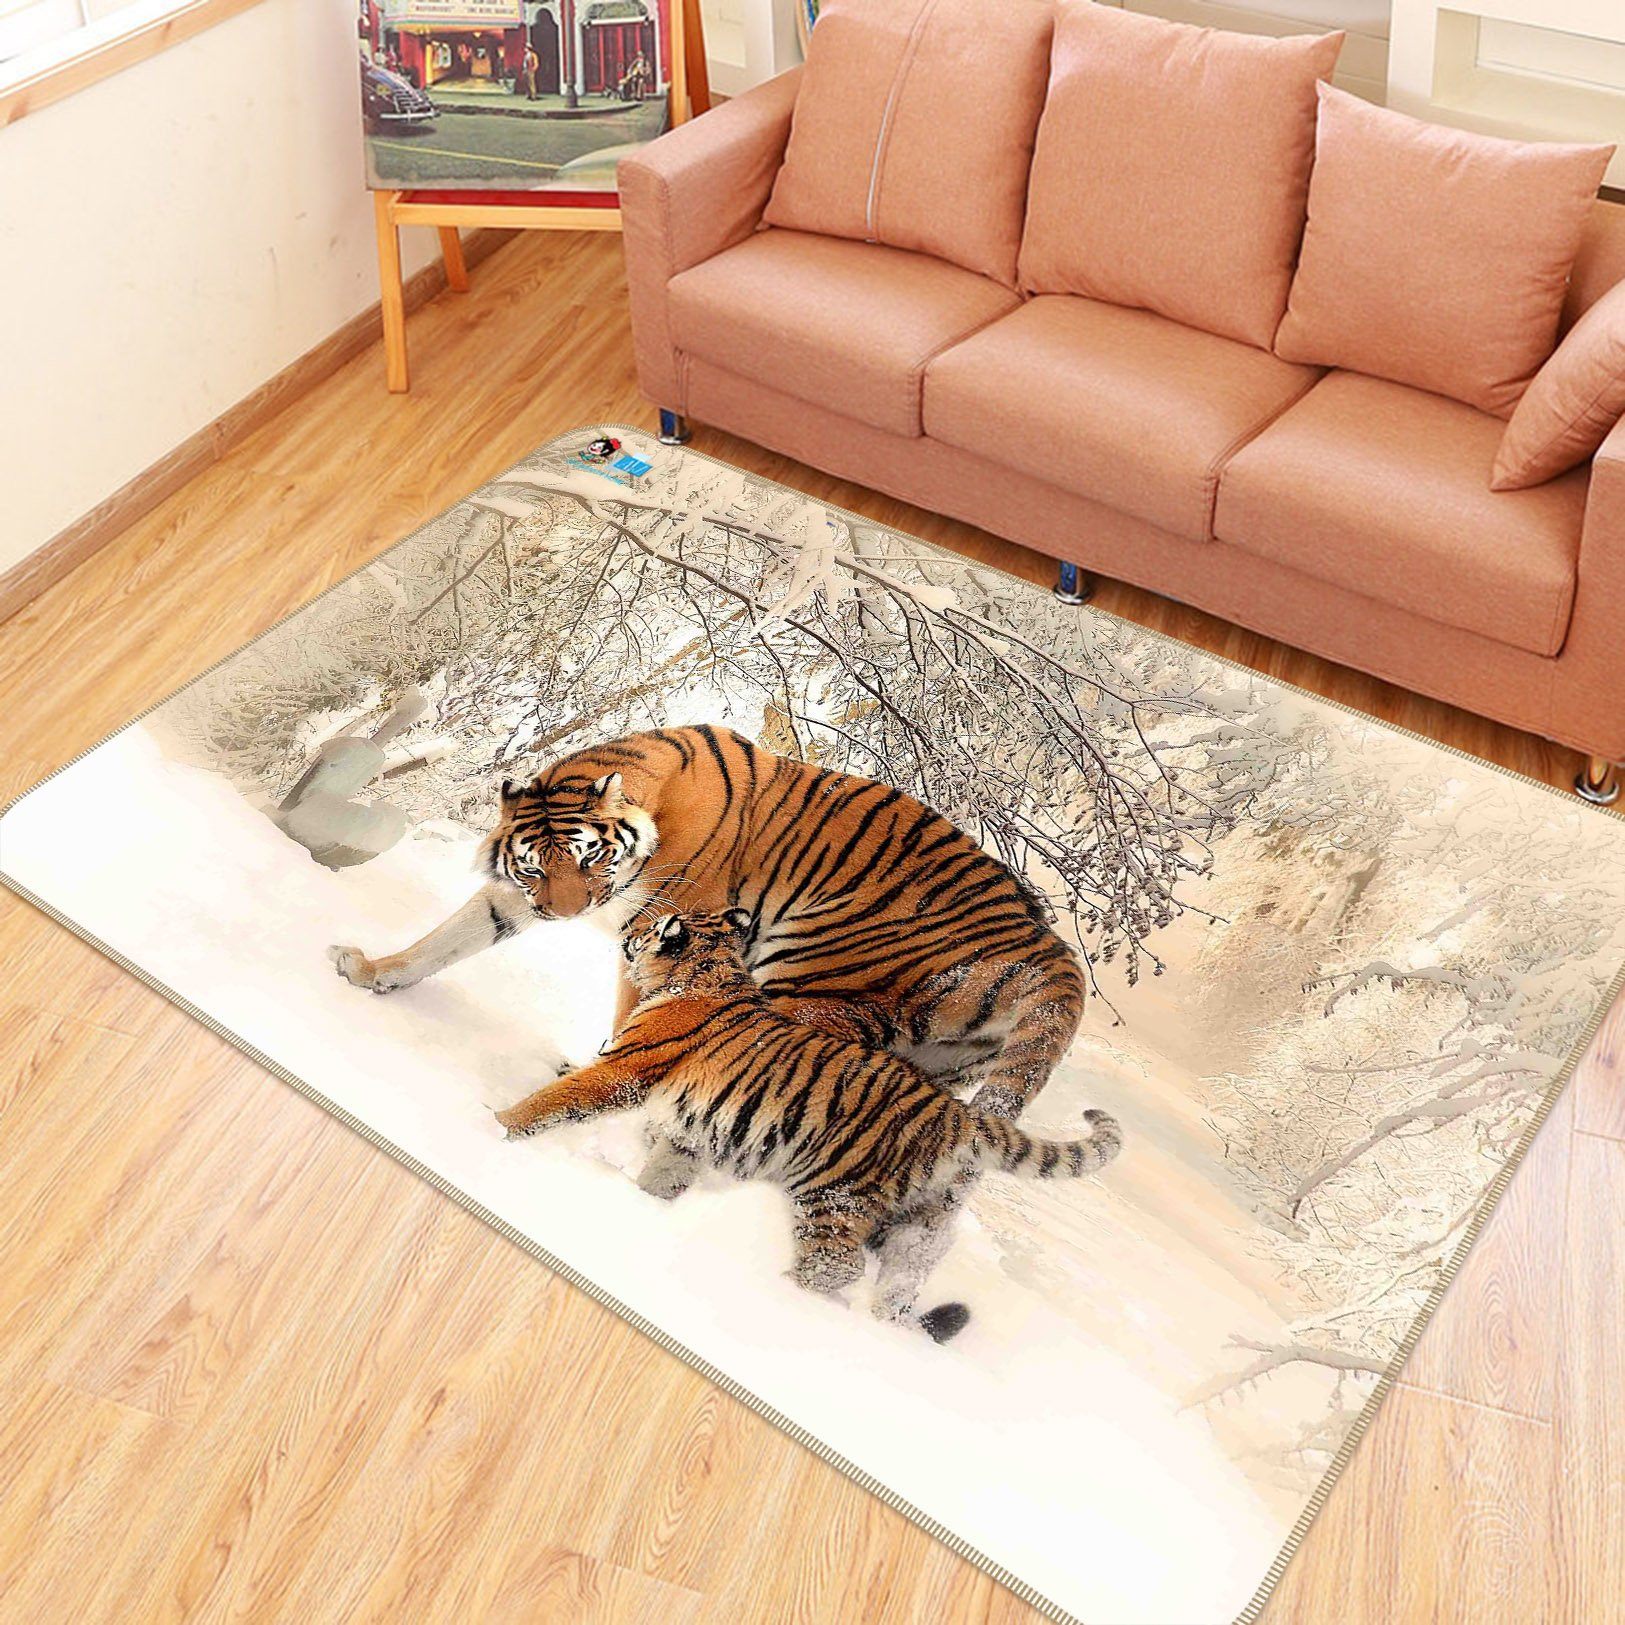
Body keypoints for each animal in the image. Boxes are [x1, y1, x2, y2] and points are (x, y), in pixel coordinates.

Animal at [329, 724, 1091, 1315]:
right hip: (936, 1074)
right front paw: (372, 974)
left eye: (588, 857)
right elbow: (448, 937)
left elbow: (632, 1027)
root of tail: (1050, 952)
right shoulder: (519, 900)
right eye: (535, 867)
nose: (567, 913)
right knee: (924, 1217)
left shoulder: (659, 926)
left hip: (805, 985)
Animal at [494, 910, 1123, 1342]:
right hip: (915, 1220)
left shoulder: (625, 1071)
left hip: (834, 1194)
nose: (627, 926)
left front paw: (496, 1124)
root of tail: (958, 1114)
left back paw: (779, 1291)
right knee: (897, 1280)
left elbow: (560, 1098)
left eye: (651, 925)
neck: (711, 972)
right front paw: (644, 1204)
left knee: (836, 1263)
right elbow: (666, 1170)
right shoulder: (694, 1128)